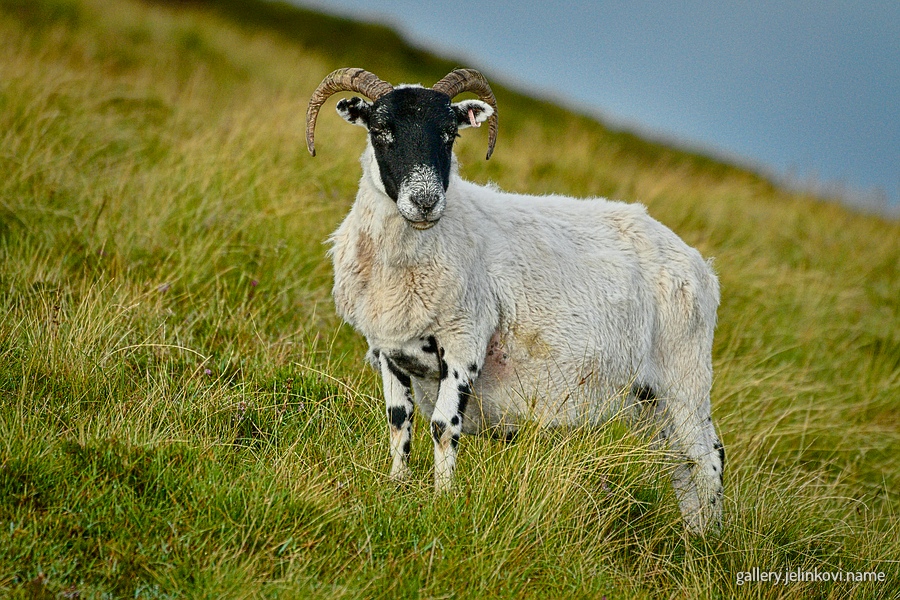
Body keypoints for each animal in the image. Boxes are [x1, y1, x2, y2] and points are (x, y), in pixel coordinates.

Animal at [306, 67, 724, 535]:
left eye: (450, 134)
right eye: (381, 129)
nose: (425, 201)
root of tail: (700, 265)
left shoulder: (464, 341)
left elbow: (443, 428)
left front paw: (442, 501)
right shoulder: (388, 349)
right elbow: (399, 424)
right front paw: (396, 488)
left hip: (684, 375)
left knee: (707, 456)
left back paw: (710, 540)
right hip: (649, 397)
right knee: (679, 462)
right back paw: (692, 532)